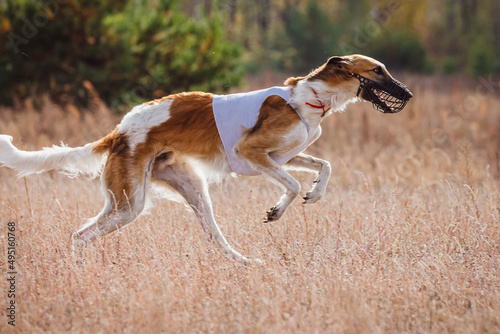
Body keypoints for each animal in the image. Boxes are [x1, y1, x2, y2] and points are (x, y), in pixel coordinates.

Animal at [0, 54, 414, 264]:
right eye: (378, 70)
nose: (408, 94)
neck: (308, 99)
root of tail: (118, 133)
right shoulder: (252, 153)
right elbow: (293, 184)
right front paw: (278, 210)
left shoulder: (279, 156)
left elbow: (324, 167)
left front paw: (316, 193)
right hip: (129, 204)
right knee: (80, 235)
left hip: (190, 191)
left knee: (215, 236)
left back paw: (245, 262)